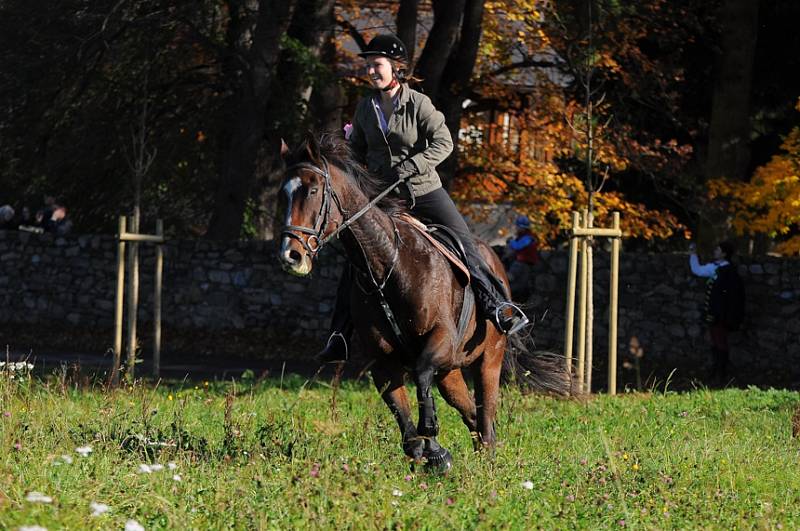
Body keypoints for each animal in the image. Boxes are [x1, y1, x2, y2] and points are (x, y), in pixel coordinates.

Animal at [278, 134, 572, 474]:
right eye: (283, 194)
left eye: (313, 190)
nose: (290, 256)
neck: (388, 264)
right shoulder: (383, 362)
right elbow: (406, 426)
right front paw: (429, 453)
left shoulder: (440, 339)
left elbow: (420, 376)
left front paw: (434, 443)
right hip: (450, 372)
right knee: (471, 413)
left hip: (489, 358)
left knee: (485, 414)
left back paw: (488, 461)